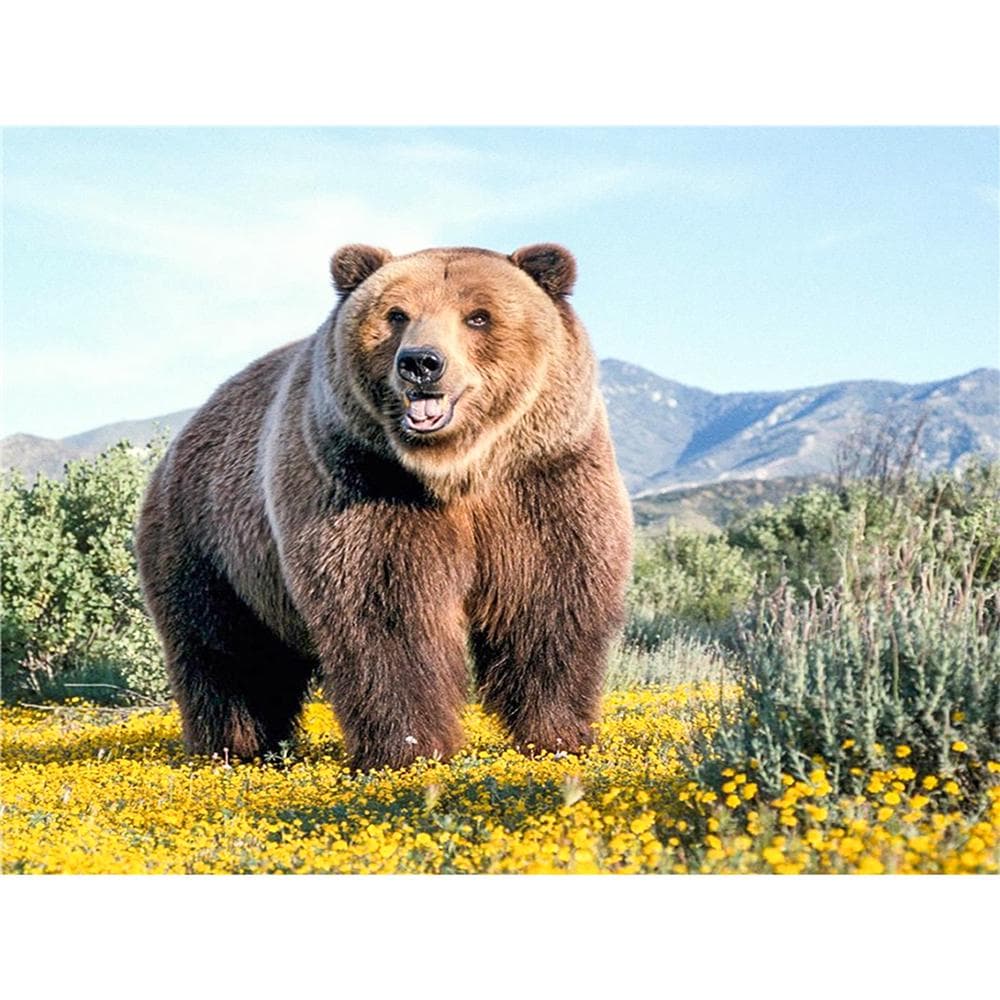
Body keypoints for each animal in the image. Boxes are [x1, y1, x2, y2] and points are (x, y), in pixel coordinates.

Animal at [135, 243, 633, 771]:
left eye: (478, 316)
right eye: (397, 314)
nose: (421, 362)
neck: (456, 471)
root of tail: (183, 435)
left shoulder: (543, 480)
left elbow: (550, 601)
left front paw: (558, 735)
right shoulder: (364, 483)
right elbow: (387, 612)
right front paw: (410, 747)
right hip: (208, 543)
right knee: (225, 652)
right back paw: (233, 747)